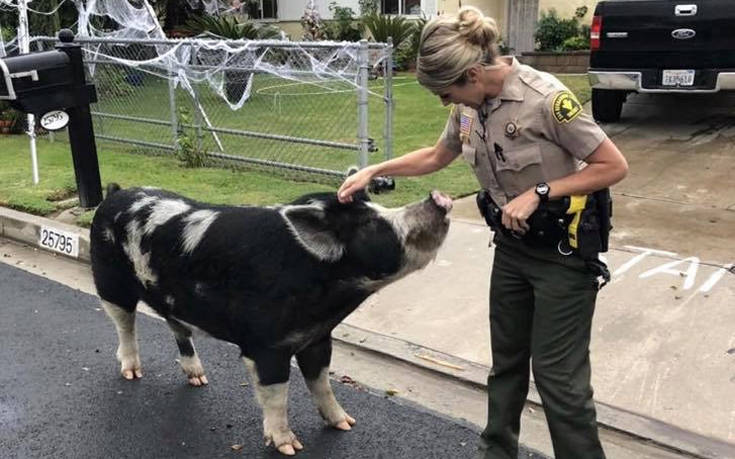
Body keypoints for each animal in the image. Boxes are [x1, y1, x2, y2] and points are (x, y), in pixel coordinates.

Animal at [89, 184, 452, 456]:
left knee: (176, 326)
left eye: (379, 207)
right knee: (125, 326)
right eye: (369, 224)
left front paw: (346, 423)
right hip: (109, 283)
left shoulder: (318, 338)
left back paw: (199, 379)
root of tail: (114, 195)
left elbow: (322, 382)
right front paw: (289, 446)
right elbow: (277, 394)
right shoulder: (264, 345)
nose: (439, 198)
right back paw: (132, 373)